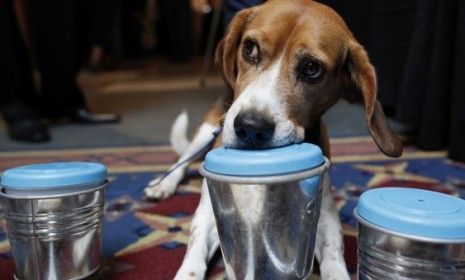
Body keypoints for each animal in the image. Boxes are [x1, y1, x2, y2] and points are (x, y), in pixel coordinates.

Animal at [144, 1, 402, 278]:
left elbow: (333, 253)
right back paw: (163, 184)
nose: (250, 127)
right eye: (249, 48)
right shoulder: (209, 214)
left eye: (312, 69)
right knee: (182, 160)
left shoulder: (325, 215)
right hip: (207, 129)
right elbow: (194, 252)